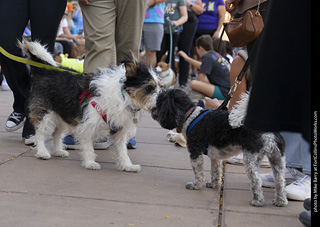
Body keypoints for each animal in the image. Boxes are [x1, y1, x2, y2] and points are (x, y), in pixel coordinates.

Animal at [20, 40, 160, 172]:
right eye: (149, 87)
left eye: (160, 86)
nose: (160, 102)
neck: (123, 96)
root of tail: (44, 70)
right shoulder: (87, 125)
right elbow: (88, 146)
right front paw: (90, 163)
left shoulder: (119, 130)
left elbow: (122, 151)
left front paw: (127, 165)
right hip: (43, 112)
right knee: (40, 133)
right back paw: (42, 152)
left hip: (64, 114)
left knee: (56, 134)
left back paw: (58, 151)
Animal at [151, 89, 288, 207]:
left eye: (159, 103)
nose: (152, 110)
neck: (190, 116)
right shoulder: (215, 157)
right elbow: (215, 171)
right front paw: (214, 184)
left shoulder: (195, 152)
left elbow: (198, 172)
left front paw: (196, 185)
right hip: (278, 159)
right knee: (280, 181)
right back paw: (280, 201)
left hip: (251, 158)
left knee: (257, 180)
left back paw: (257, 201)